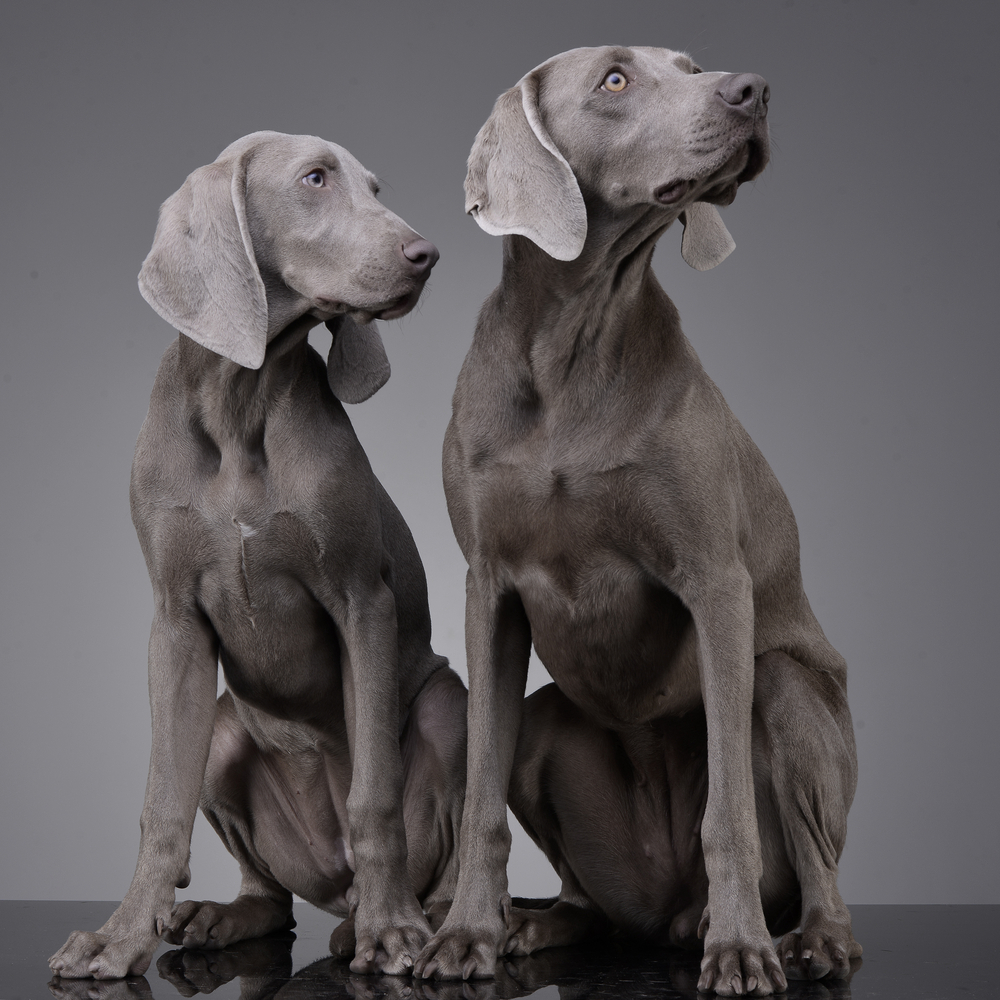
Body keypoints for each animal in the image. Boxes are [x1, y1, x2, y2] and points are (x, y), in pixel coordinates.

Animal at [47, 129, 468, 980]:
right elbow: (160, 805)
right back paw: (223, 915)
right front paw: (121, 937)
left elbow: (374, 794)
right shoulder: (174, 622)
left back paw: (407, 921)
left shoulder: (361, 601)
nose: (426, 254)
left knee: (431, 855)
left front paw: (394, 932)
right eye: (315, 179)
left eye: (376, 188)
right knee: (271, 896)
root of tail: (334, 885)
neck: (241, 400)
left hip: (448, 704)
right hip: (223, 733)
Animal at [418, 45, 864, 992]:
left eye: (690, 66)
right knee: (588, 896)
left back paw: (804, 939)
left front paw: (740, 949)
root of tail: (665, 911)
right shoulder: (487, 588)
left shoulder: (716, 583)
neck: (573, 344)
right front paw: (466, 935)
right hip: (547, 724)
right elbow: (477, 799)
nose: (751, 91)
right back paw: (541, 924)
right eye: (615, 80)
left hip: (787, 691)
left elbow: (730, 811)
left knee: (818, 860)